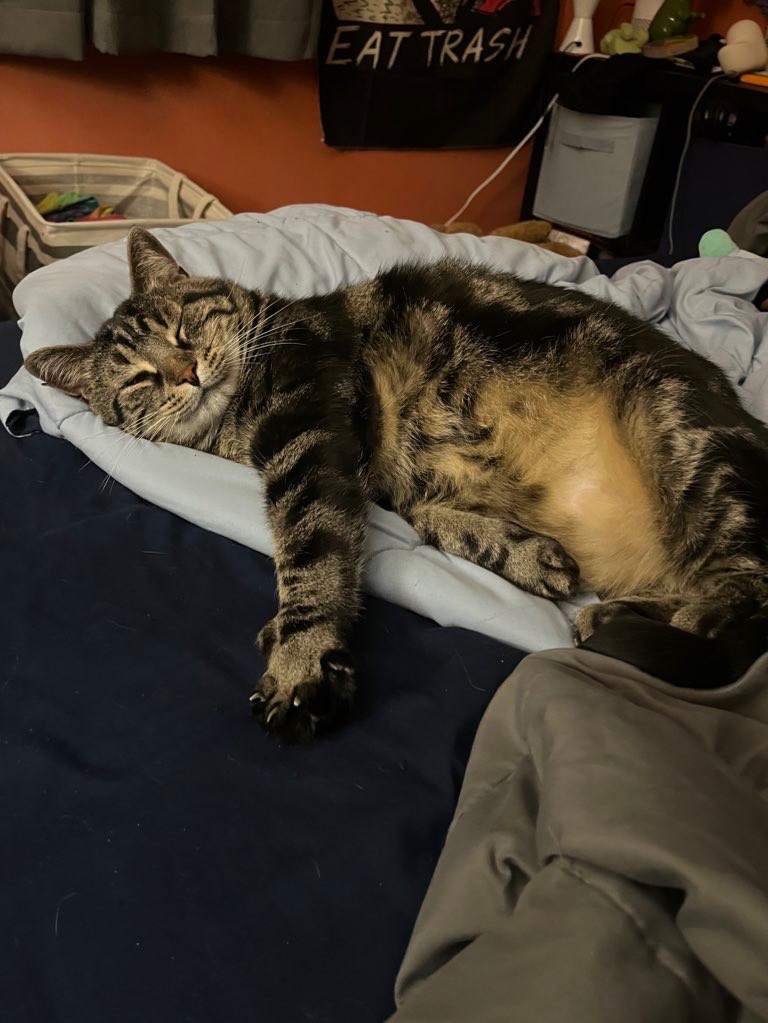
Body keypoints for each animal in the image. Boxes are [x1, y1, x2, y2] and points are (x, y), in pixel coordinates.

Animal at [24, 228, 768, 740]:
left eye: (183, 326)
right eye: (137, 379)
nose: (185, 373)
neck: (235, 423)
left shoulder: (308, 435)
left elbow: (310, 551)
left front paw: (299, 660)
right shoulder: (374, 475)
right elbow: (420, 520)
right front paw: (526, 553)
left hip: (681, 433)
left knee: (744, 606)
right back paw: (599, 607)